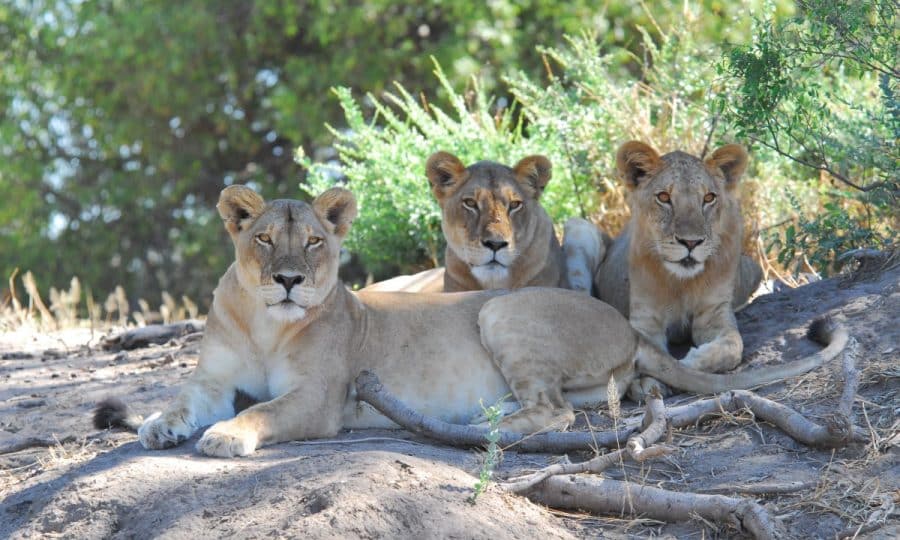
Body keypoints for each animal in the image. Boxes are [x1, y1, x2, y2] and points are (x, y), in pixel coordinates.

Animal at [94, 185, 846, 458]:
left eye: (311, 243)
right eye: (263, 241)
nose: (287, 280)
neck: (264, 320)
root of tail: (628, 325)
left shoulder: (319, 398)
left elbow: (261, 411)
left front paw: (225, 437)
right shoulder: (212, 379)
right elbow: (183, 397)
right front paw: (160, 424)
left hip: (505, 309)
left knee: (553, 412)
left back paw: (479, 426)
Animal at [566, 141, 765, 397]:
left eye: (708, 197)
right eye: (664, 197)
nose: (691, 242)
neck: (681, 282)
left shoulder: (715, 313)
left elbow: (732, 346)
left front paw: (689, 364)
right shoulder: (646, 320)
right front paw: (645, 382)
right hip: (579, 228)